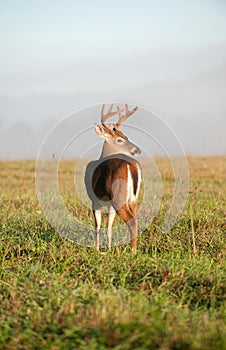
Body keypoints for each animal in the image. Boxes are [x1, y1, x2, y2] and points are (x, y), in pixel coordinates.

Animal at [85, 102, 141, 253]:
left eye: (126, 137)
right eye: (121, 138)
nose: (138, 150)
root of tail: (131, 165)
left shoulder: (95, 199)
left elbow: (97, 226)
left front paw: (98, 250)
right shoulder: (108, 203)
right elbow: (109, 226)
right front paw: (109, 249)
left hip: (118, 196)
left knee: (132, 221)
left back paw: (133, 251)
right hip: (132, 198)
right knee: (135, 217)